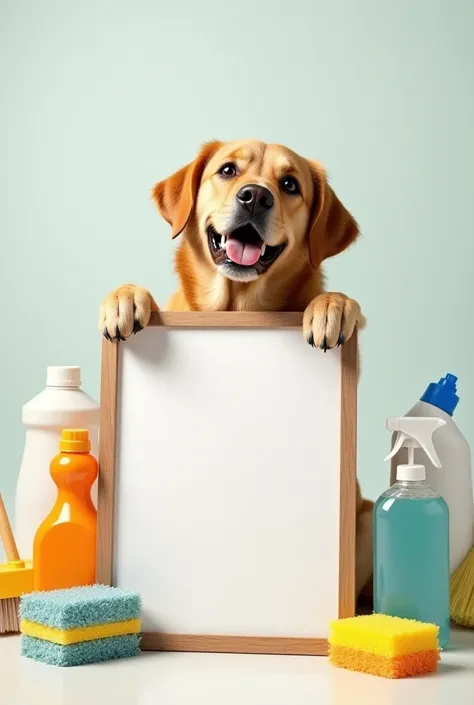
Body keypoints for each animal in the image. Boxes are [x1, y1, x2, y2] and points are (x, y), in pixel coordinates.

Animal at [101, 138, 374, 592]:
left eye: (290, 184)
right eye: (228, 170)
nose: (256, 196)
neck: (237, 304)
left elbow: (338, 302)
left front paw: (332, 307)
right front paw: (124, 298)